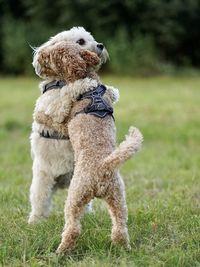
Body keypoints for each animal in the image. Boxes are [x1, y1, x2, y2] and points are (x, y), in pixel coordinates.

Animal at [28, 27, 115, 224]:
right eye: (81, 41)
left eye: (92, 39)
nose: (100, 45)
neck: (62, 80)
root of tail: (61, 181)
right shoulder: (54, 109)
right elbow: (67, 92)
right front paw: (84, 83)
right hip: (42, 183)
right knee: (40, 203)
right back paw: (36, 221)